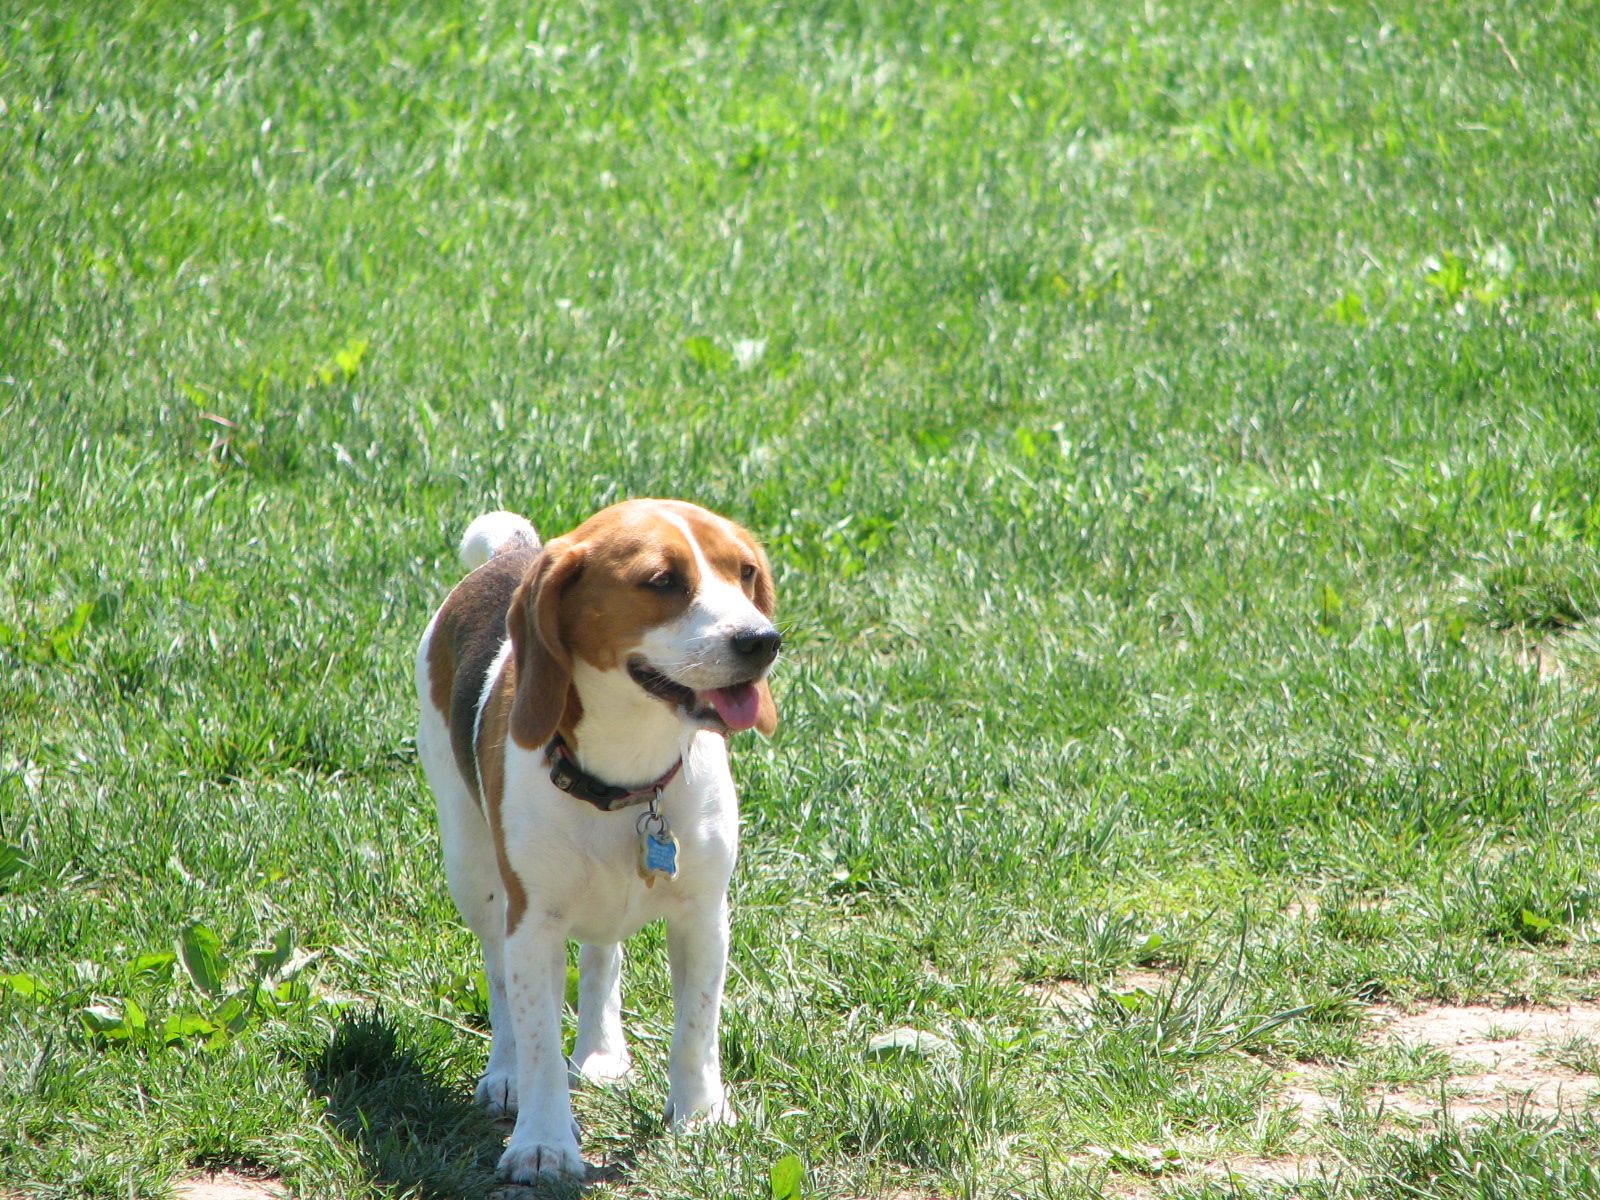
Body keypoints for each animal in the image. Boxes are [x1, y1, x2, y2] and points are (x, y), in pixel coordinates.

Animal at [414, 499, 780, 1181]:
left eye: (745, 572)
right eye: (661, 580)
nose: (762, 641)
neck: (631, 774)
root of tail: (519, 553)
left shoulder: (704, 915)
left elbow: (696, 1028)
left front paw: (699, 1116)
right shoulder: (533, 923)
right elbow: (538, 1043)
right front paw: (543, 1143)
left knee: (603, 956)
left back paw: (602, 1052)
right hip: (473, 872)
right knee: (499, 980)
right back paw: (504, 1075)